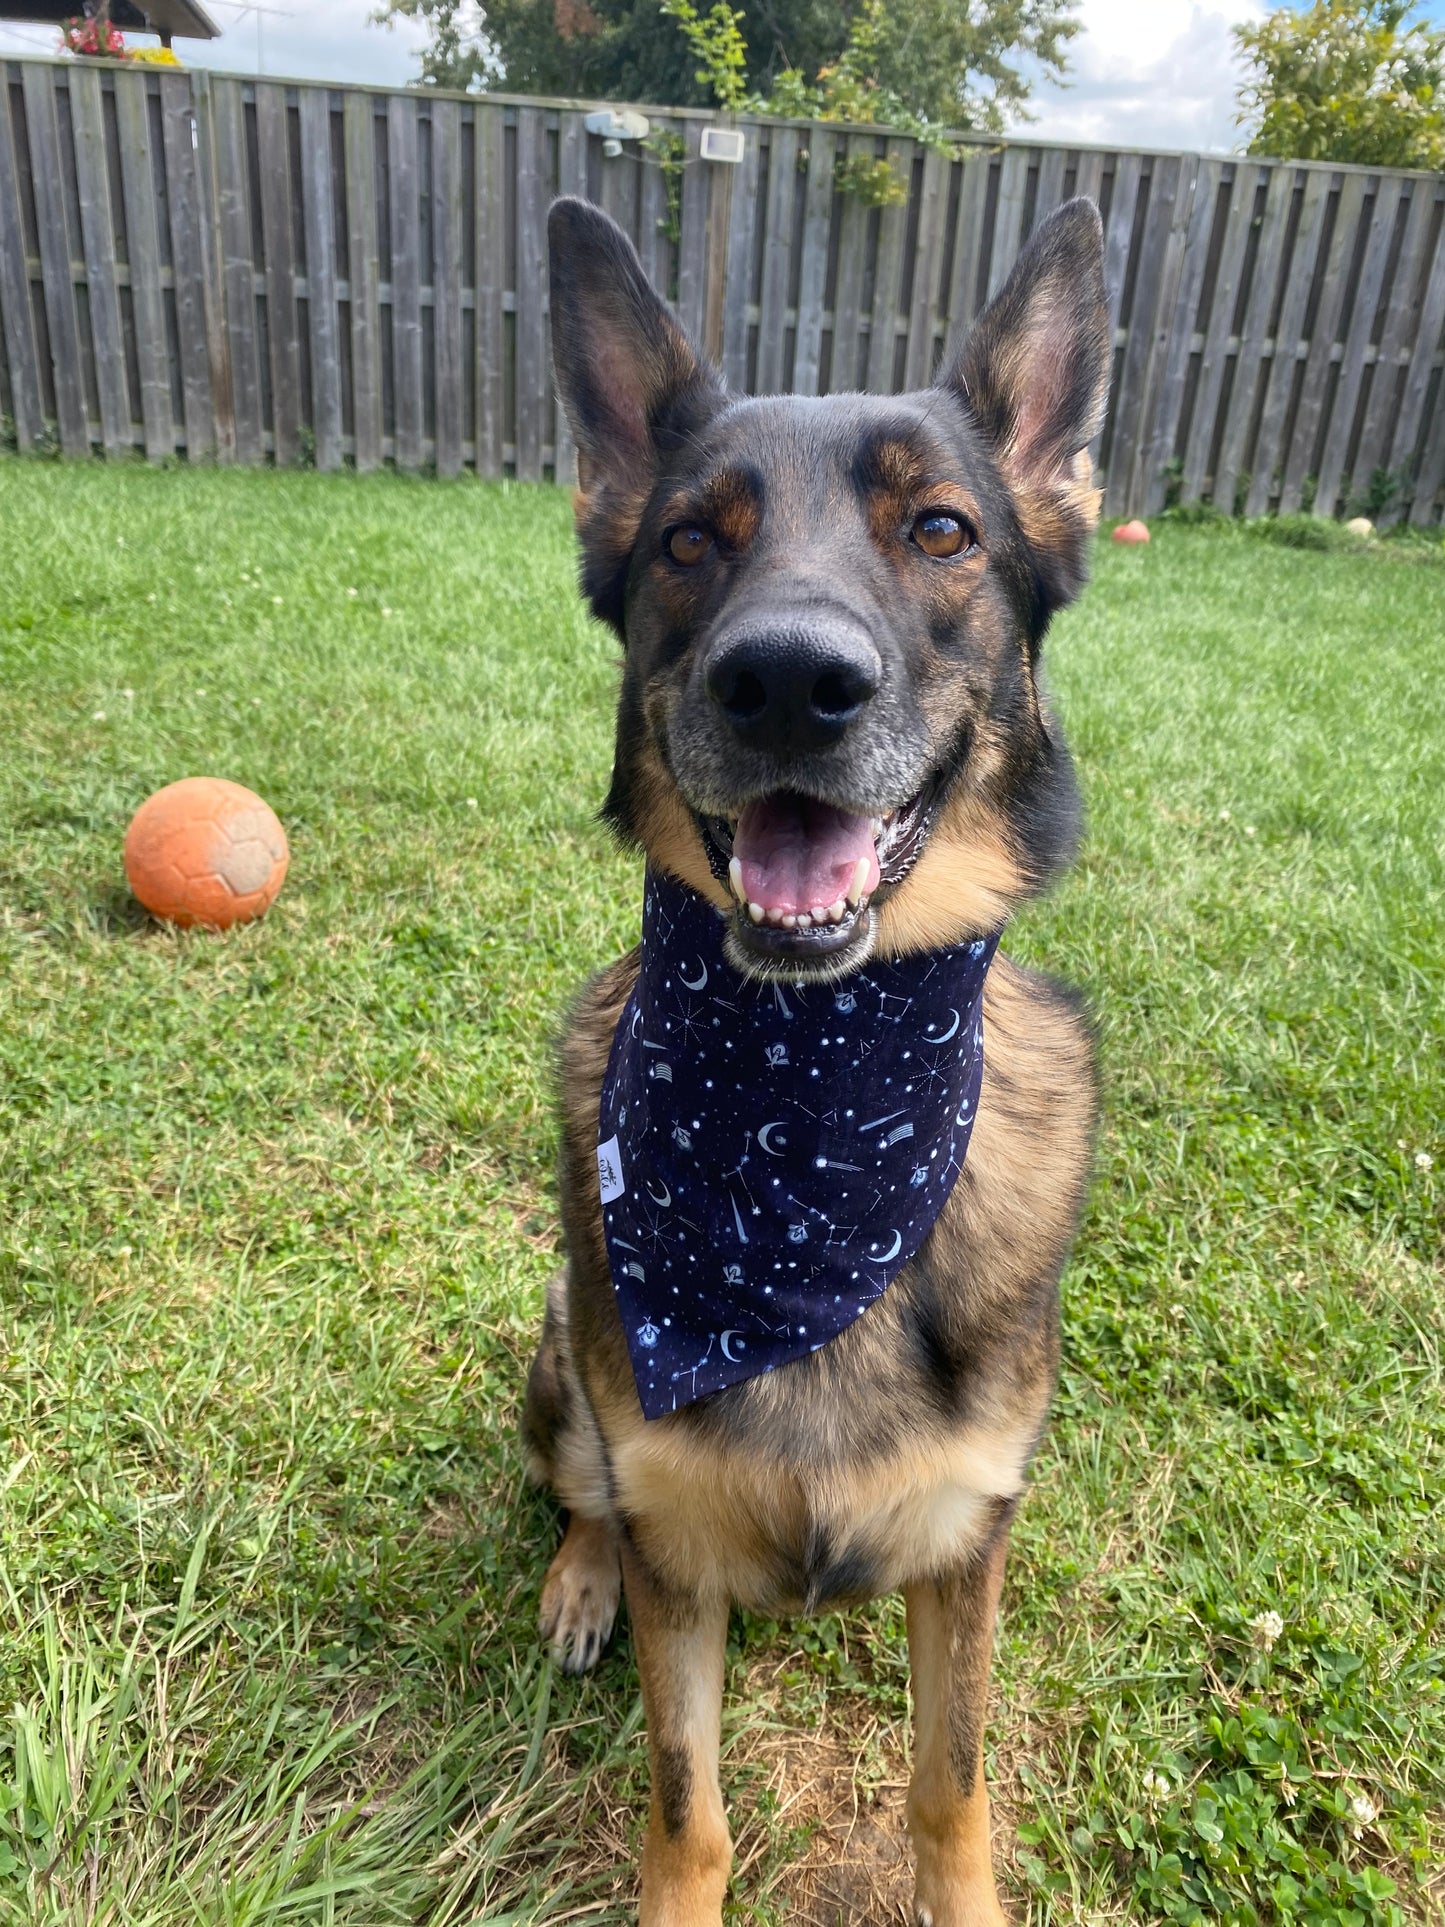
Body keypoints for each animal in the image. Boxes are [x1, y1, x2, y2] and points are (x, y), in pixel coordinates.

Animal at [527, 184, 1117, 1927]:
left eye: (942, 532)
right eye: (688, 541)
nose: (788, 679)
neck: (812, 1126)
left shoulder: (969, 1541)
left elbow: (949, 1785)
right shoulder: (679, 1546)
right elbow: (689, 1805)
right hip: (557, 1349)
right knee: (583, 1487)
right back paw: (575, 1579)